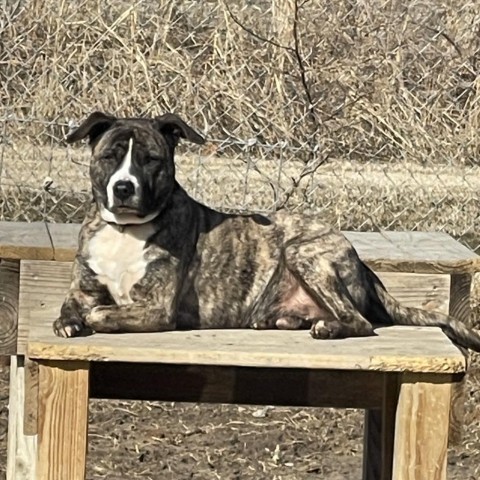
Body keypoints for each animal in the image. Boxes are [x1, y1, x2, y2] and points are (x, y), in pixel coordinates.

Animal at [54, 112, 480, 352]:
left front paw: (92, 318)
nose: (124, 187)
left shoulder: (156, 308)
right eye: (110, 156)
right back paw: (286, 320)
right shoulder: (83, 287)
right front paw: (69, 321)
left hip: (303, 253)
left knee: (359, 321)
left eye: (150, 160)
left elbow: (101, 313)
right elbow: (73, 306)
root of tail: (360, 261)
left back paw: (327, 328)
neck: (125, 230)